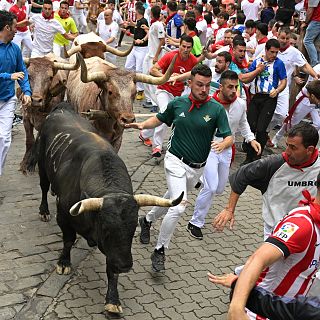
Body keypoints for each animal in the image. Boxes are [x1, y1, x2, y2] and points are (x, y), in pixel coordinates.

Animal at [26, 103, 182, 316]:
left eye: (133, 229)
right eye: (107, 228)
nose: (126, 265)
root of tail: (61, 108)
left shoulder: (115, 250)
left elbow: (111, 269)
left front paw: (113, 300)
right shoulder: (64, 216)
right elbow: (68, 240)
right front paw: (64, 263)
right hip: (42, 166)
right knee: (43, 187)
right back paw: (43, 211)